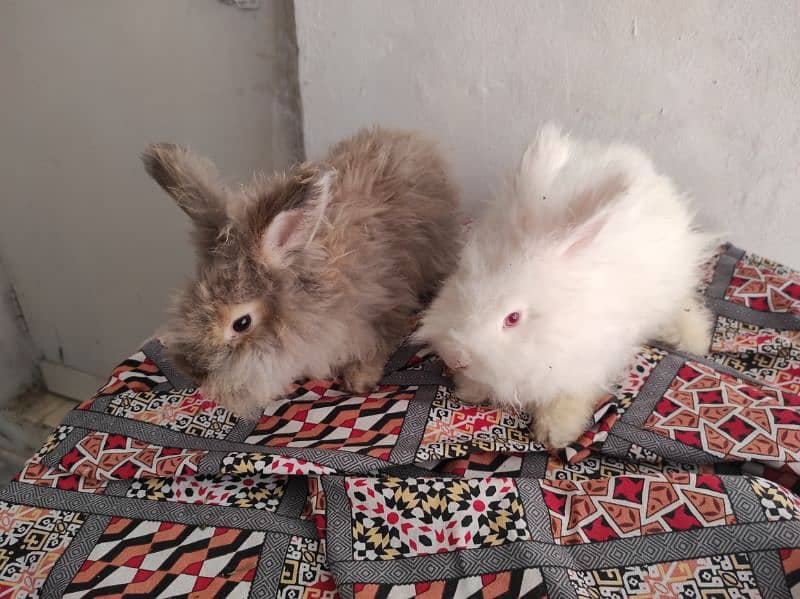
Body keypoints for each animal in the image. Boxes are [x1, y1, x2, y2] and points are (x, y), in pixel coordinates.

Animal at [412, 124, 712, 448]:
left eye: (513, 318)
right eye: (462, 282)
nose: (457, 357)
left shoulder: (587, 363)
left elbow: (569, 396)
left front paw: (555, 433)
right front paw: (471, 390)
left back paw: (695, 340)